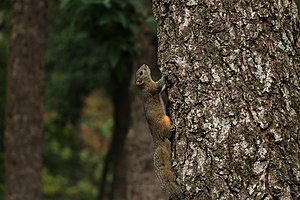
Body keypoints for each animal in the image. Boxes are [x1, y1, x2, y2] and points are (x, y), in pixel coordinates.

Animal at [136, 64, 185, 200]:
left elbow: (162, 89)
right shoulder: (152, 88)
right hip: (164, 122)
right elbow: (159, 86)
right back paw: (172, 130)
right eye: (141, 72)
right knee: (167, 135)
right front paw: (166, 74)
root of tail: (157, 140)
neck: (145, 85)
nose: (145, 65)